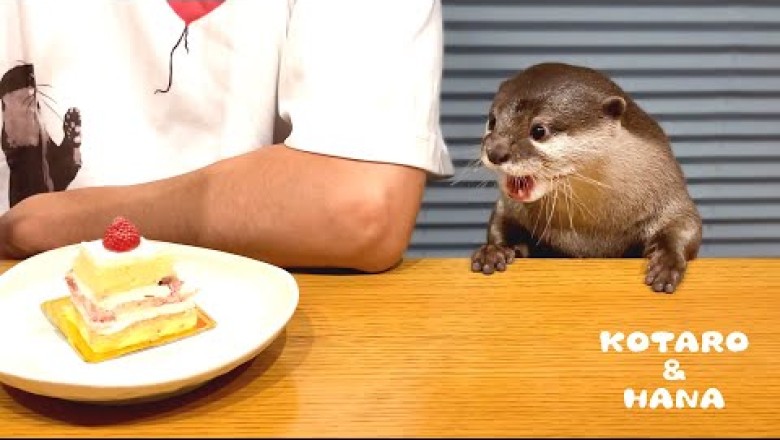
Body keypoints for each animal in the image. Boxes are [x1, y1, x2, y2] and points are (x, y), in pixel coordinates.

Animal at [470, 62, 702, 294]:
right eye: (492, 121)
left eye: (539, 130)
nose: (495, 152)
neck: (588, 231)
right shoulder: (509, 207)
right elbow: (500, 222)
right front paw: (494, 250)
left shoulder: (669, 195)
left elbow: (686, 225)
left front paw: (666, 264)